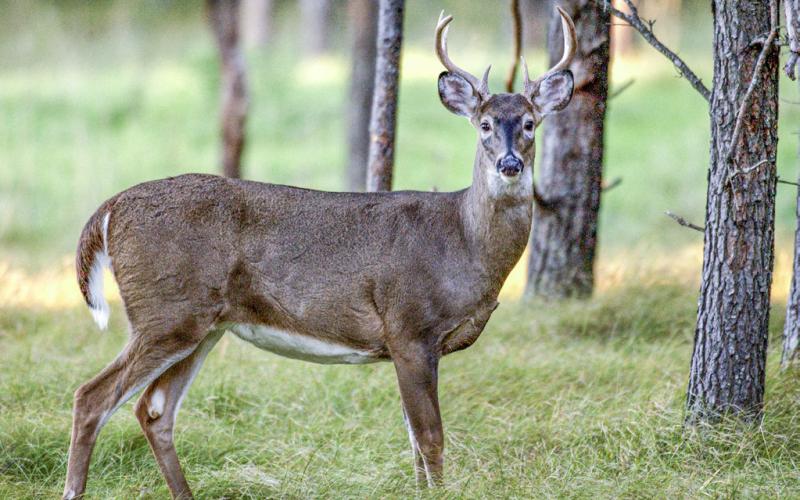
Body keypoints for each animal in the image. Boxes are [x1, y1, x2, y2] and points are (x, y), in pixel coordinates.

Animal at [62, 8, 576, 499]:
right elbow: (430, 437)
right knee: (92, 397)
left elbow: (413, 439)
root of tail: (110, 209)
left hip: (202, 324)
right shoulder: (409, 326)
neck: (463, 244)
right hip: (165, 309)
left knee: (154, 410)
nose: (509, 164)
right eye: (484, 124)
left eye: (530, 124)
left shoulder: (408, 343)